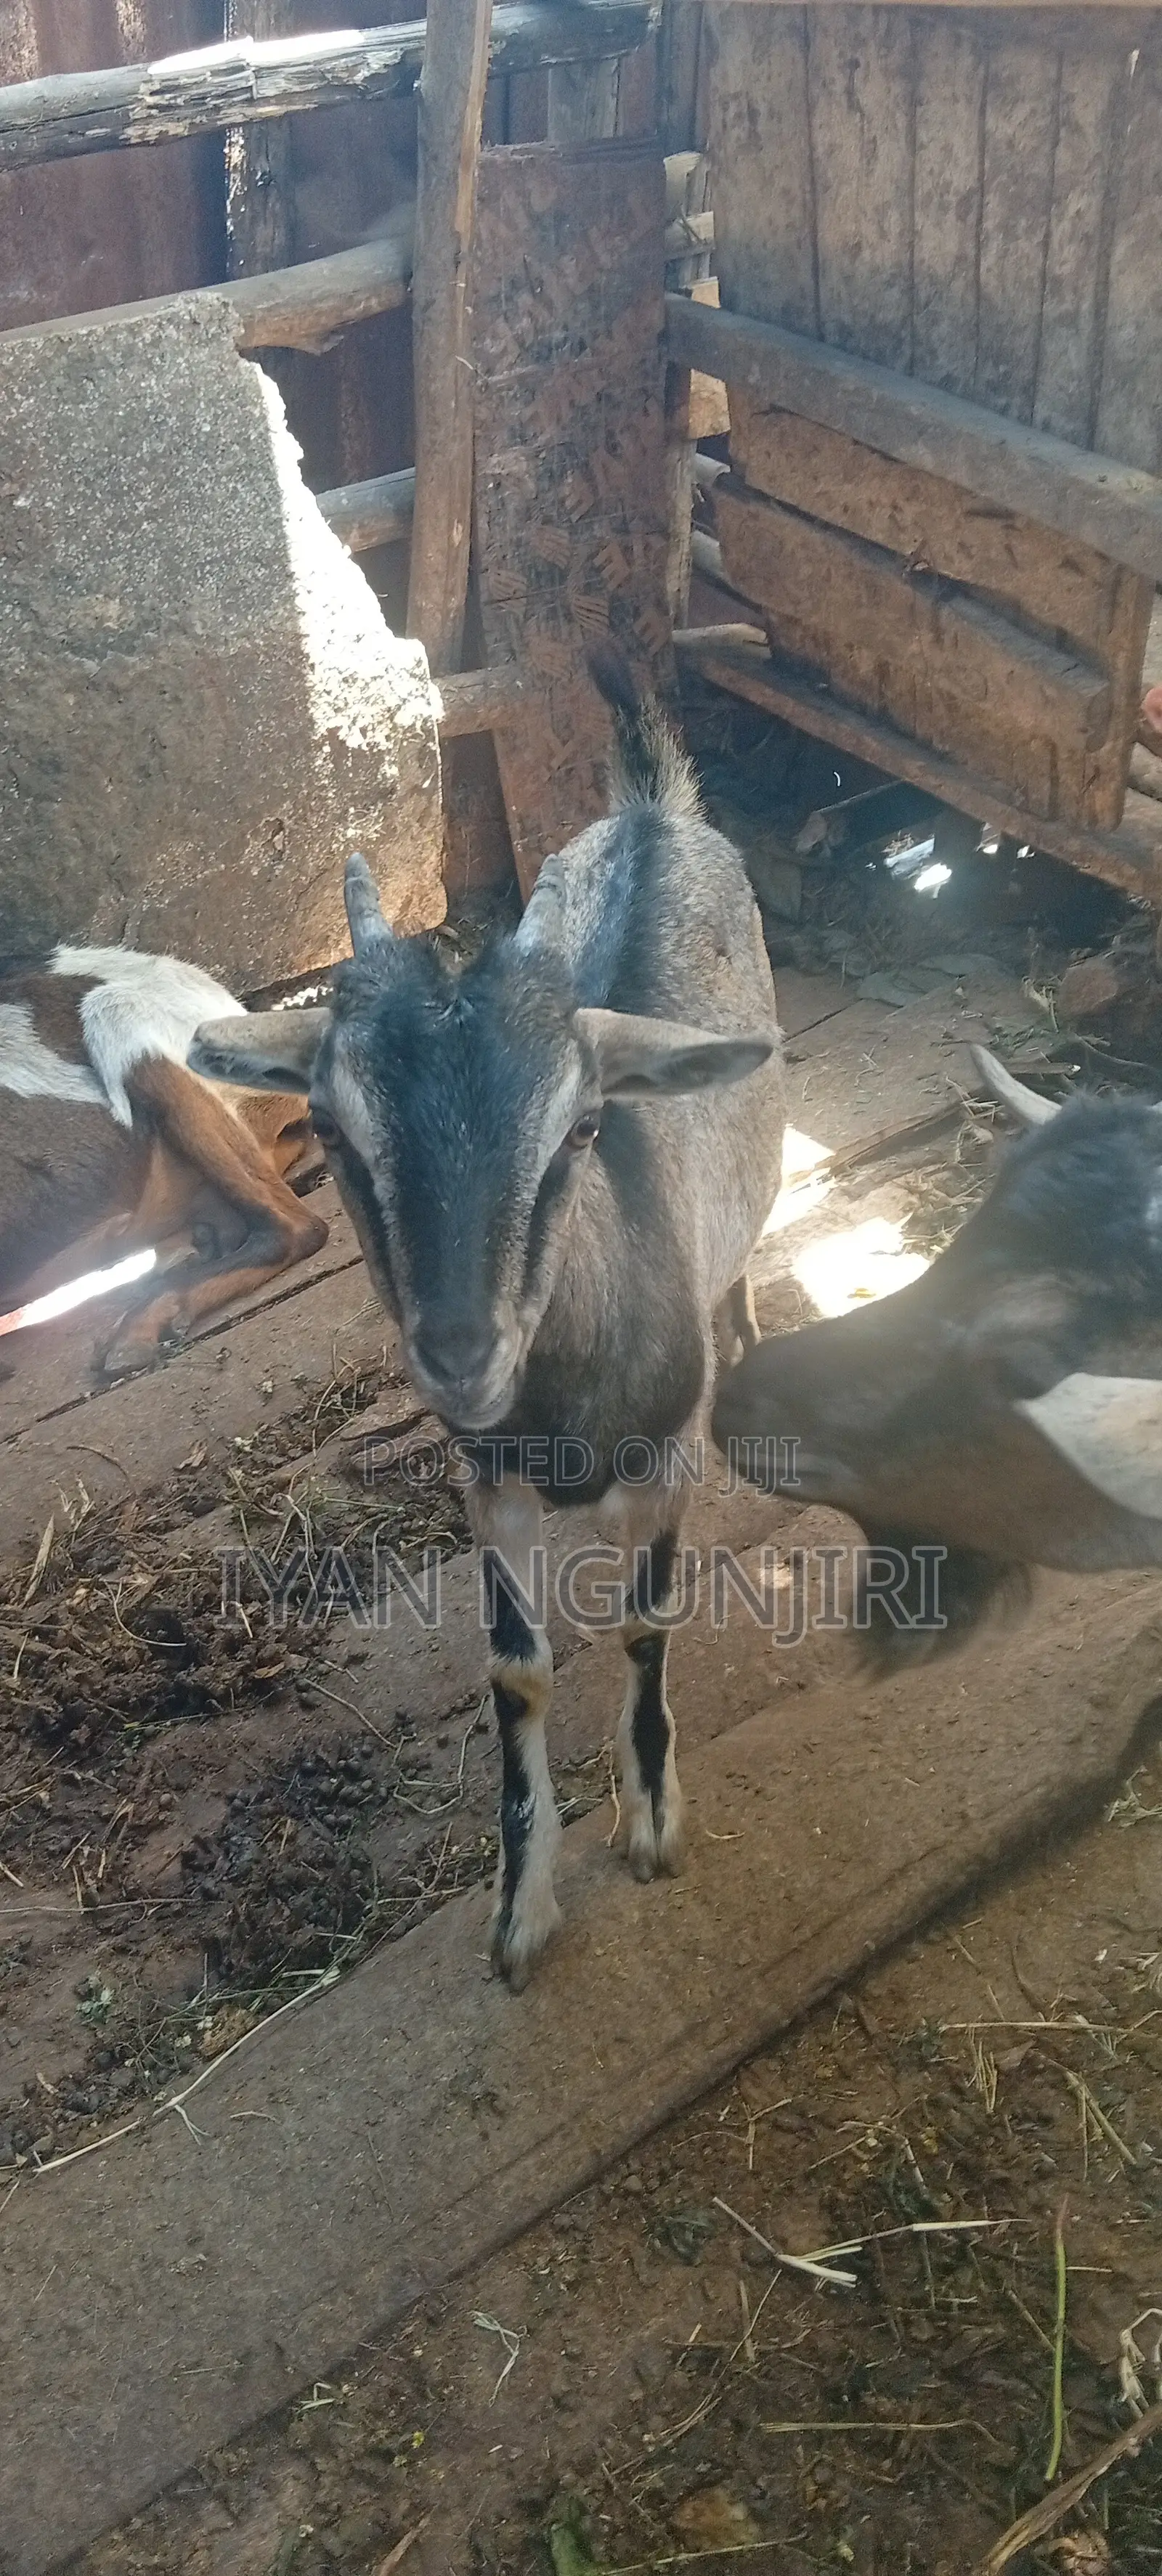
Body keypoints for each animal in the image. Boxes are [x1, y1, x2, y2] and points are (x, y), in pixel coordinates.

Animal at [189, 653, 786, 1987]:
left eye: (581, 1125)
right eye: (333, 1129)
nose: (461, 1357)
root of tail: (653, 810)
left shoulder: (665, 1459)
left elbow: (647, 1618)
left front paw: (653, 1821)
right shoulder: (488, 1479)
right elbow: (516, 1669)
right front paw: (521, 1912)